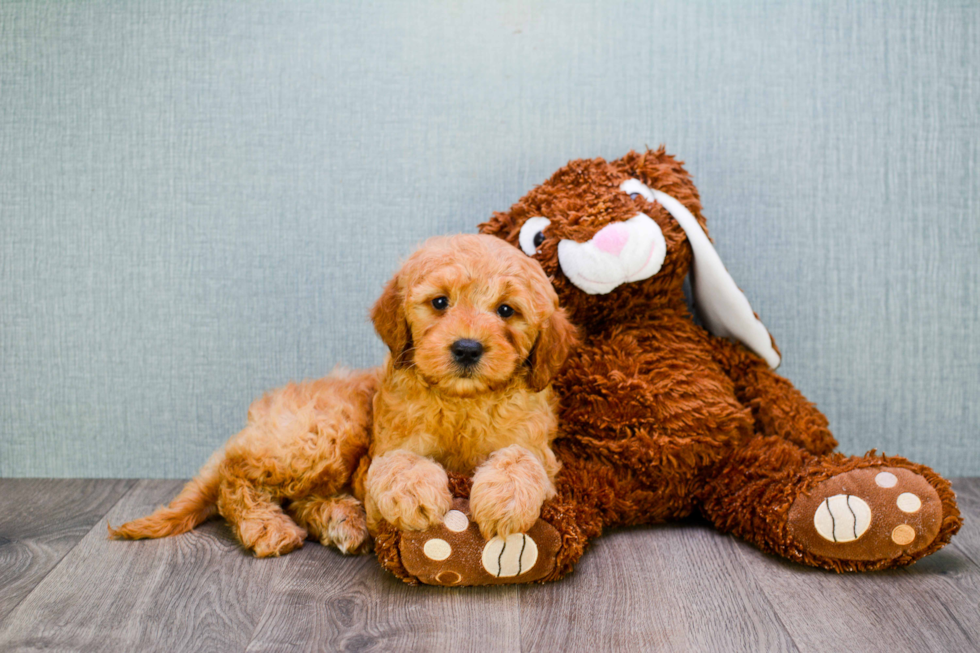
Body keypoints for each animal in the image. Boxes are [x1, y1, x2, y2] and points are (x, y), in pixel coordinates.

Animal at [362, 234, 576, 540]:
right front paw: (412, 493)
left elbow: (521, 457)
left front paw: (505, 499)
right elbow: (398, 459)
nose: (467, 349)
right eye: (439, 302)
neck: (463, 402)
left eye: (506, 310)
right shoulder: (389, 447)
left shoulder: (538, 450)